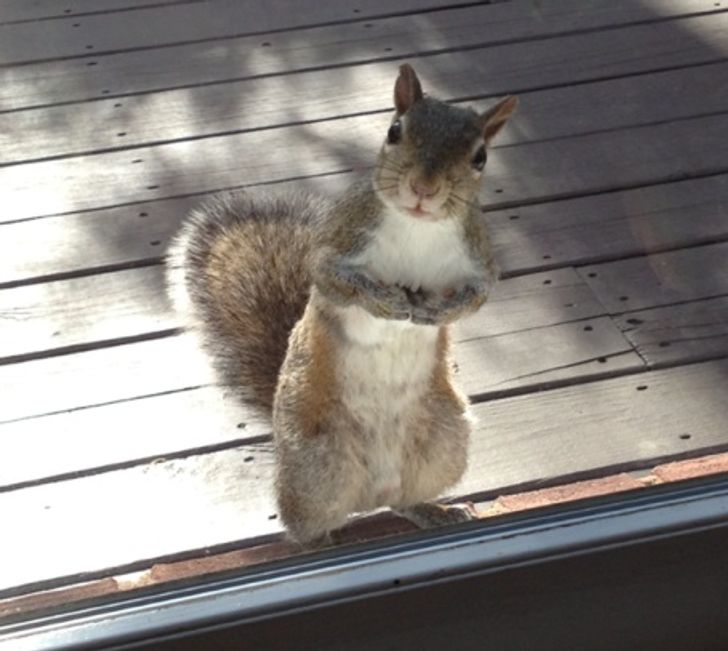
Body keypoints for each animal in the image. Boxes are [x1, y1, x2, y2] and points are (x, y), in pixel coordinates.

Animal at [167, 66, 516, 544]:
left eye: (480, 157)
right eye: (394, 131)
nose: (423, 188)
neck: (418, 227)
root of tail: (368, 494)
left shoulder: (479, 261)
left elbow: (476, 298)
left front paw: (439, 313)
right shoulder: (338, 244)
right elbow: (335, 280)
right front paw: (384, 301)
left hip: (444, 440)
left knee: (402, 500)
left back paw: (435, 512)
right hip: (315, 463)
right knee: (302, 524)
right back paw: (319, 542)